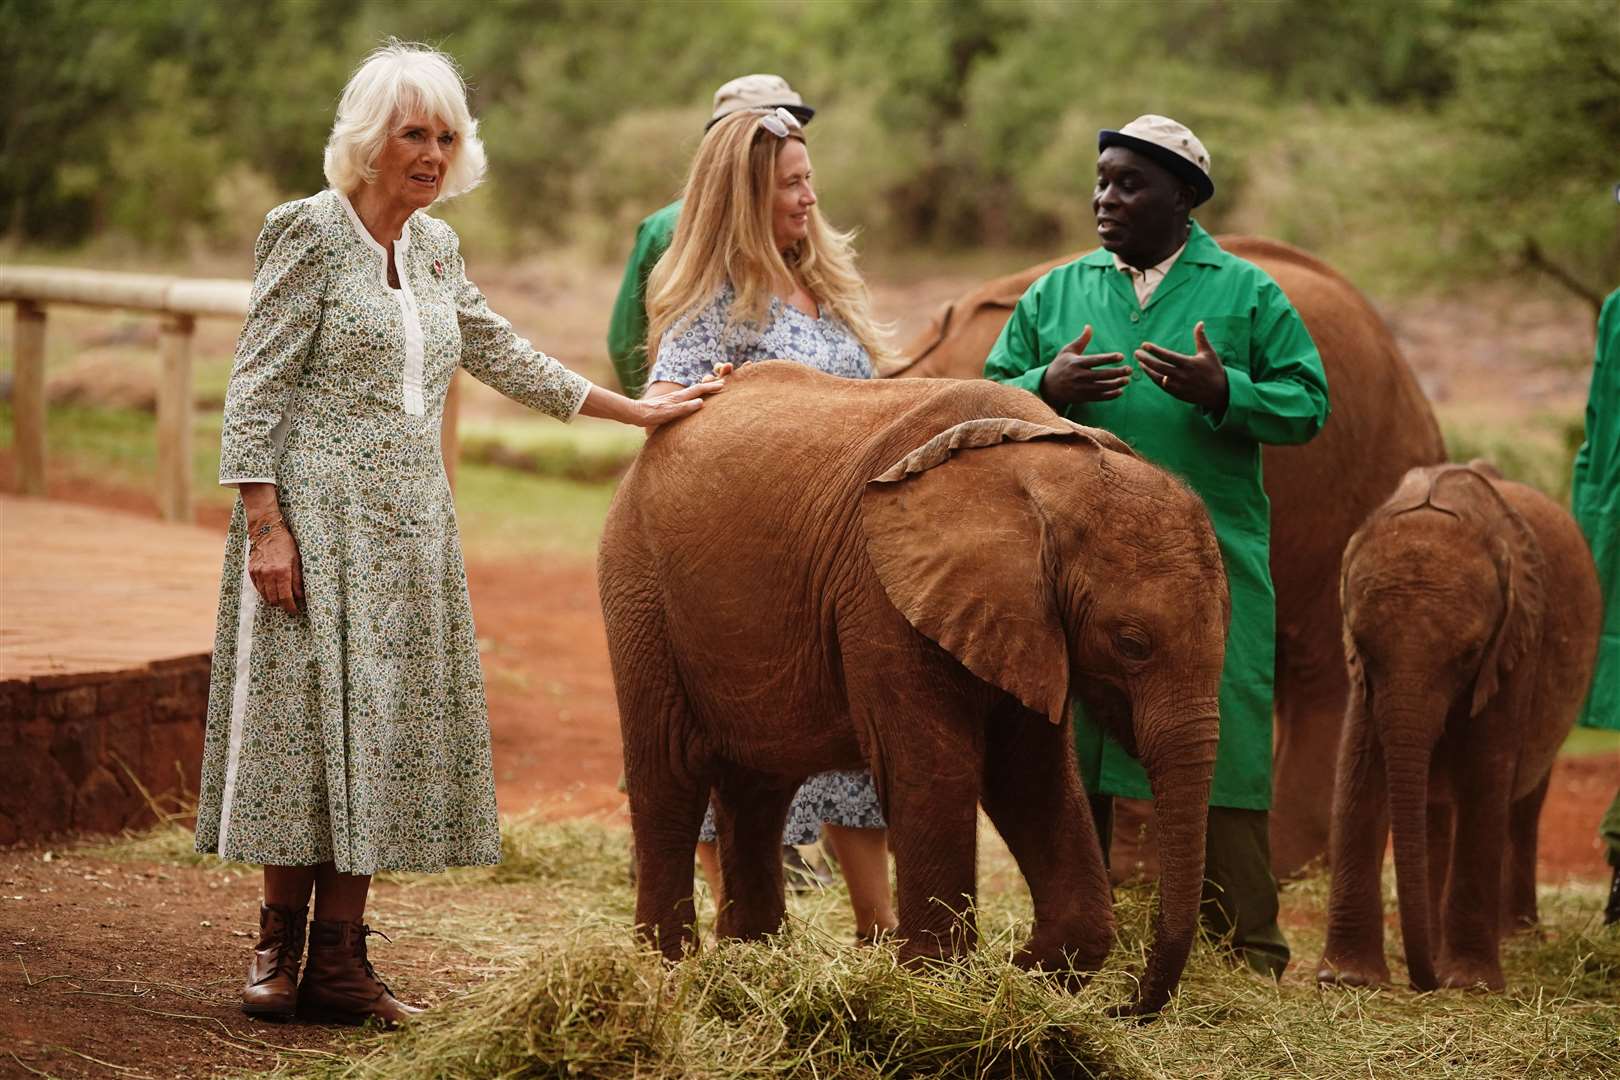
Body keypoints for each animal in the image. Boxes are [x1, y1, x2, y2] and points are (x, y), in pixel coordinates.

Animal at [605, 361, 1224, 1016]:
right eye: (1131, 644)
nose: (1123, 1008)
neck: (1047, 466)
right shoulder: (882, 590)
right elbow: (936, 768)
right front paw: (935, 991)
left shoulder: (1024, 619)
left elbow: (1030, 777)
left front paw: (1021, 979)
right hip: (640, 585)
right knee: (670, 774)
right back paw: (667, 973)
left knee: (758, 786)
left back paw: (752, 962)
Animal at [1321, 459, 1600, 990]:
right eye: (1362, 647)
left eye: (1469, 655)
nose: (1422, 981)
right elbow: (1358, 774)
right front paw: (1348, 980)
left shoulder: (1515, 642)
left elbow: (1486, 776)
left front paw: (1469, 984)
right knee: (1435, 812)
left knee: (1524, 804)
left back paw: (1516, 940)